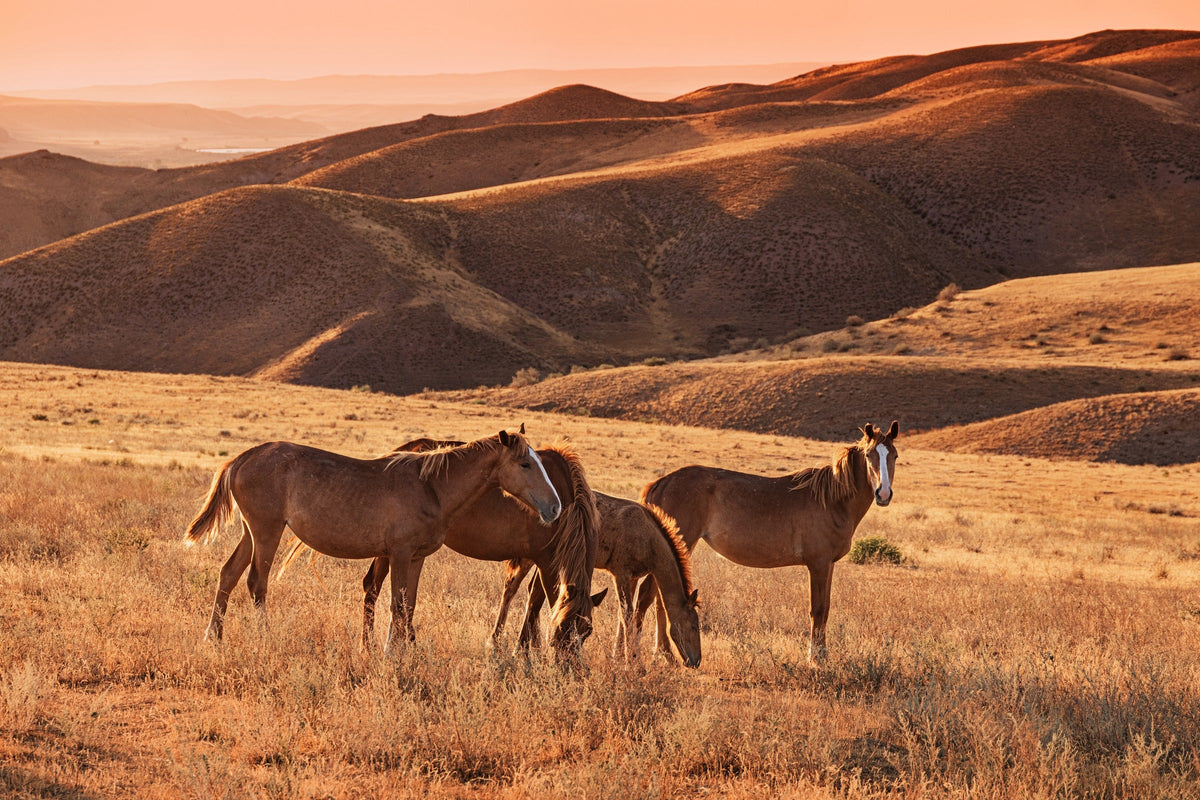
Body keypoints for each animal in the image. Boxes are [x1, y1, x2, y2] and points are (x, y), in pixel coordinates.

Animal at [184, 429, 561, 650]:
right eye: (525, 464)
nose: (555, 507)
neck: (431, 487)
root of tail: (242, 458)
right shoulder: (399, 553)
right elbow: (396, 604)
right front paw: (391, 652)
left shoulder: (417, 557)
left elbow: (408, 604)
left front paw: (406, 650)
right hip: (267, 531)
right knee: (256, 583)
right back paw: (265, 638)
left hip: (251, 532)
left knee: (228, 575)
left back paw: (213, 637)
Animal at [301, 437, 606, 659]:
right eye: (564, 629)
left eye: (588, 632)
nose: (570, 669)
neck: (566, 498)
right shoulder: (545, 558)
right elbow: (536, 600)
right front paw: (522, 650)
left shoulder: (531, 557)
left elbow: (517, 592)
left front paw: (510, 645)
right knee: (372, 587)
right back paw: (376, 645)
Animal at [491, 492, 702, 667]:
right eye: (694, 626)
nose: (696, 661)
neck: (646, 535)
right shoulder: (621, 574)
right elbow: (627, 615)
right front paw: (634, 664)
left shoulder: (631, 578)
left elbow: (625, 615)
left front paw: (619, 658)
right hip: (529, 557)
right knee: (511, 587)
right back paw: (498, 644)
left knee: (534, 592)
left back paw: (530, 649)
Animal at [640, 421, 899, 663]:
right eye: (869, 455)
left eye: (894, 456)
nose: (883, 494)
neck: (832, 501)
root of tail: (659, 483)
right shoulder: (818, 564)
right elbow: (817, 609)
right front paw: (814, 658)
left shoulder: (829, 565)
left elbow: (825, 609)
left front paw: (823, 655)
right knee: (649, 595)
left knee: (660, 599)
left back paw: (664, 653)